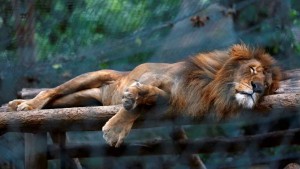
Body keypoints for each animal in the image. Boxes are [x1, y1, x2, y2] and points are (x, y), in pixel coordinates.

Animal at [7, 44, 282, 147]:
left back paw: (21, 104)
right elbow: (137, 102)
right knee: (50, 90)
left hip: (81, 99)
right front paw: (117, 126)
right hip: (92, 76)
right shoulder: (155, 76)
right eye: (252, 70)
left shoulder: (175, 103)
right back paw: (25, 106)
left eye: (267, 85)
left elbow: (150, 101)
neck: (211, 87)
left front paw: (135, 100)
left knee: (56, 100)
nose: (257, 88)